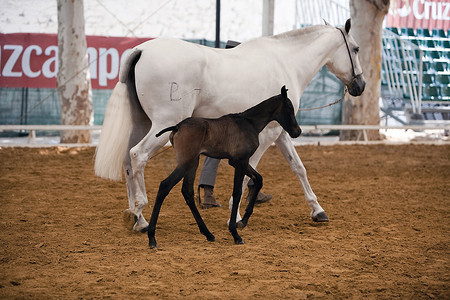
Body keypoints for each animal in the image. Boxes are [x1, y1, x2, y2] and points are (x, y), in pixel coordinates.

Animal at [149, 85, 300, 247]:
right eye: (289, 108)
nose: (298, 131)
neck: (249, 123)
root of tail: (177, 126)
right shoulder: (241, 162)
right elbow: (237, 192)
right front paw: (235, 233)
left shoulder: (238, 162)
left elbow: (259, 179)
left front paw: (244, 221)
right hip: (186, 163)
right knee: (165, 185)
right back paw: (152, 238)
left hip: (193, 163)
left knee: (187, 192)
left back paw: (208, 234)